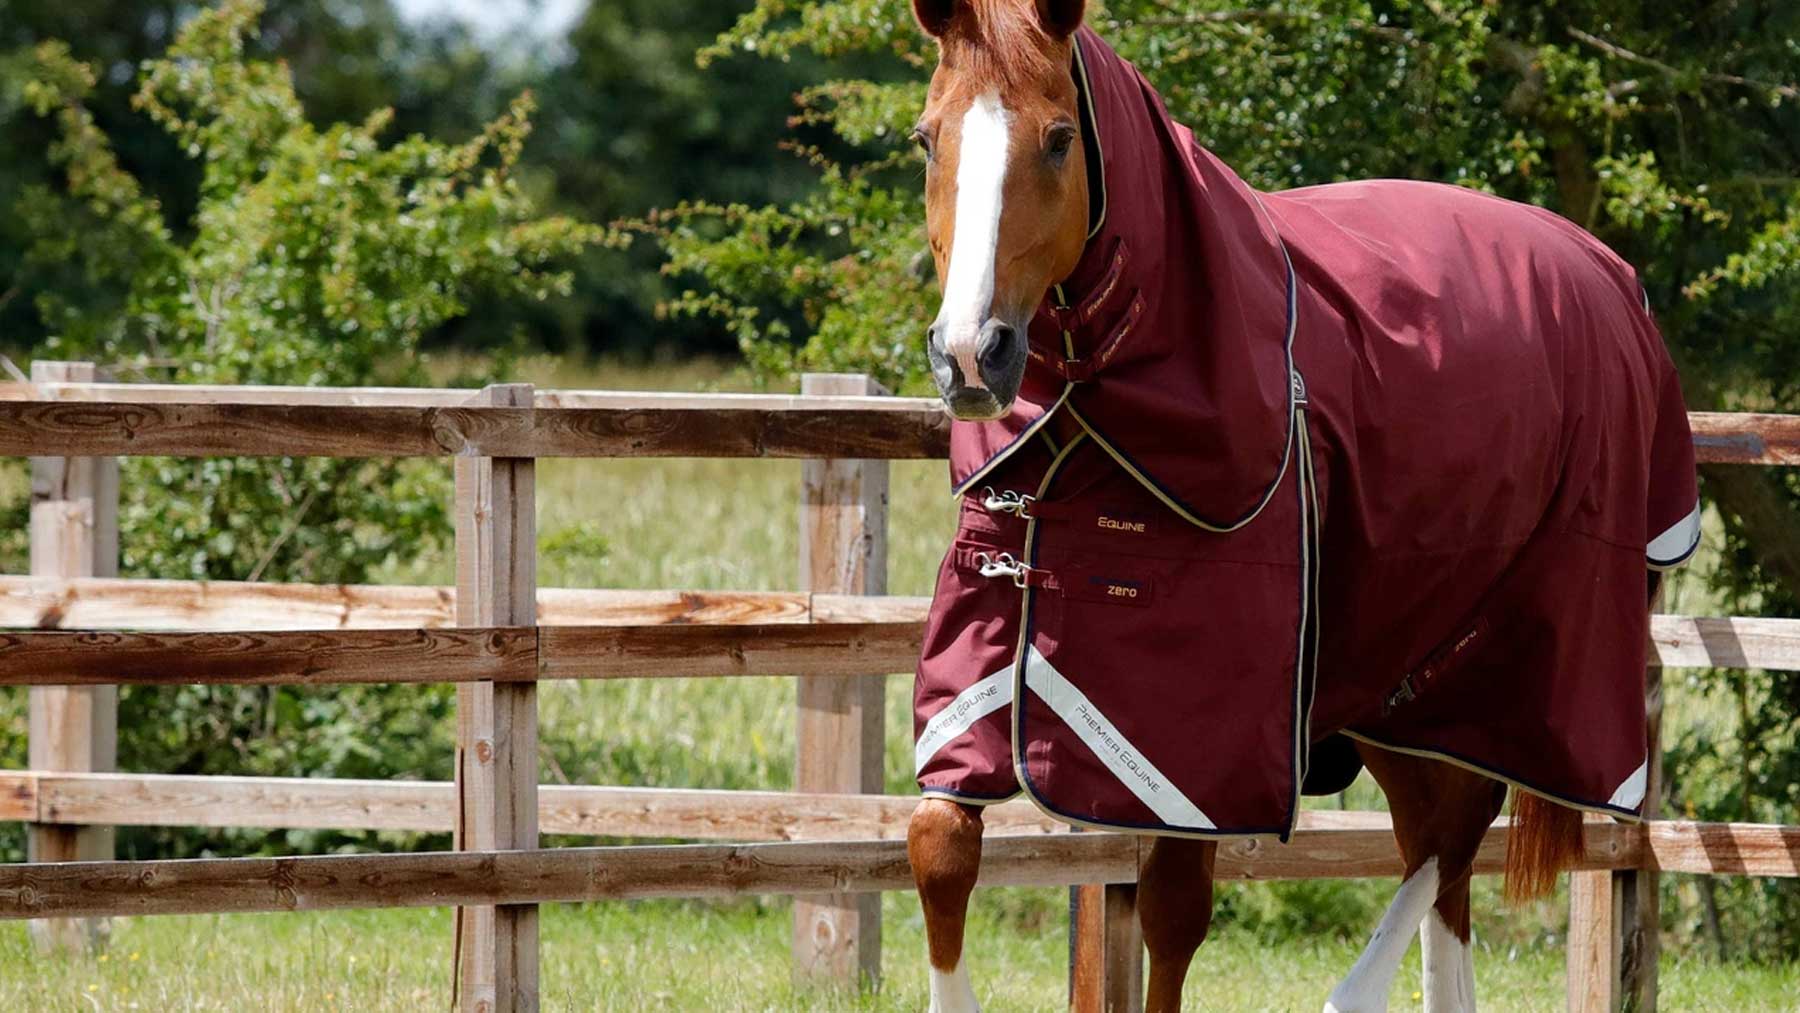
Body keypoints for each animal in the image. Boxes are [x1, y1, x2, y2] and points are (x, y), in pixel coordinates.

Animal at [903, 2, 1700, 1012]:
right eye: (926, 139)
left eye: (1058, 139)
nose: (972, 354)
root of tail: (1610, 276)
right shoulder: (987, 650)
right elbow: (939, 846)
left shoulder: (1195, 745)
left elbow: (1173, 908)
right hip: (1397, 670)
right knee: (1440, 836)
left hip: (1520, 649)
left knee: (1454, 830)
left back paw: (1353, 989)